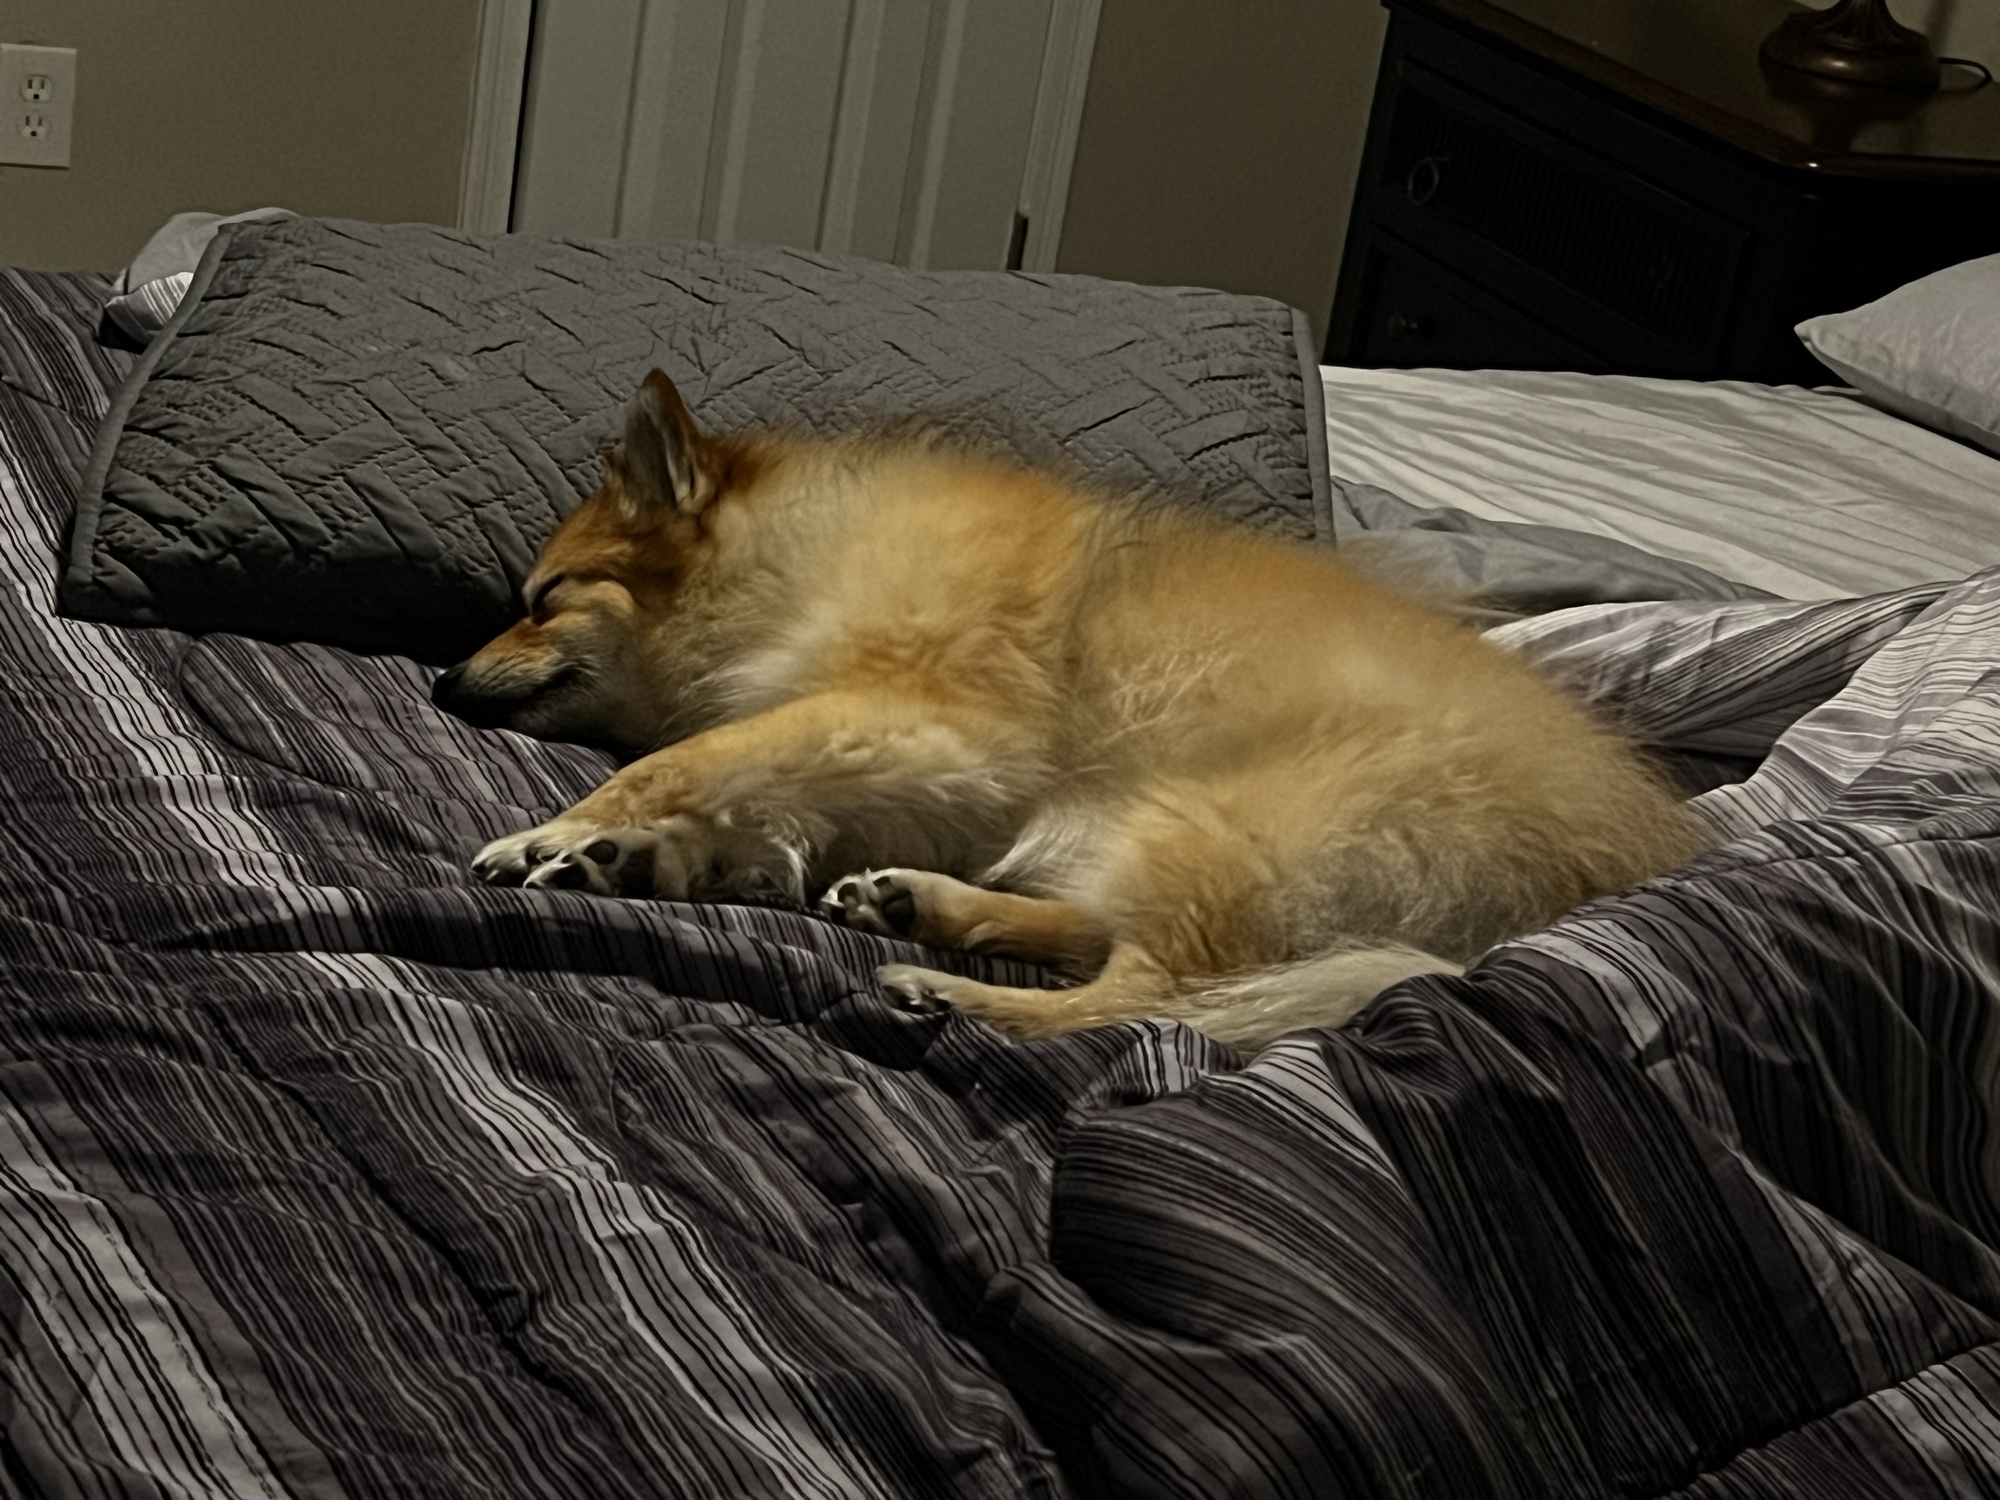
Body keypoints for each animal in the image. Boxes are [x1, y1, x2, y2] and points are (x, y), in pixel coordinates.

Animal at [432, 369, 1700, 1052]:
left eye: (541, 602)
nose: (442, 683)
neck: (786, 559)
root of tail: (1581, 898)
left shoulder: (916, 720)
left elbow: (684, 759)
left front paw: (554, 835)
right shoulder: (902, 776)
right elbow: (744, 818)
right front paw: (637, 859)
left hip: (1210, 823)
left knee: (1149, 1002)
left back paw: (947, 988)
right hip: (1145, 835)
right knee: (1106, 940)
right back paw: (922, 909)